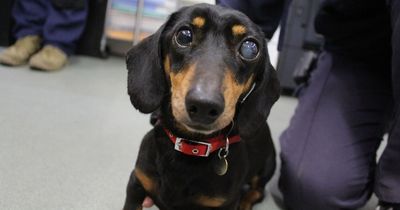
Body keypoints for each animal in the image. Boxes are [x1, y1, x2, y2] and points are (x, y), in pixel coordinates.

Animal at [123, 3, 280, 210]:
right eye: (184, 35)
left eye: (250, 48)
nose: (204, 105)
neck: (192, 146)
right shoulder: (137, 182)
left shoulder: (225, 203)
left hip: (266, 167)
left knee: (258, 191)